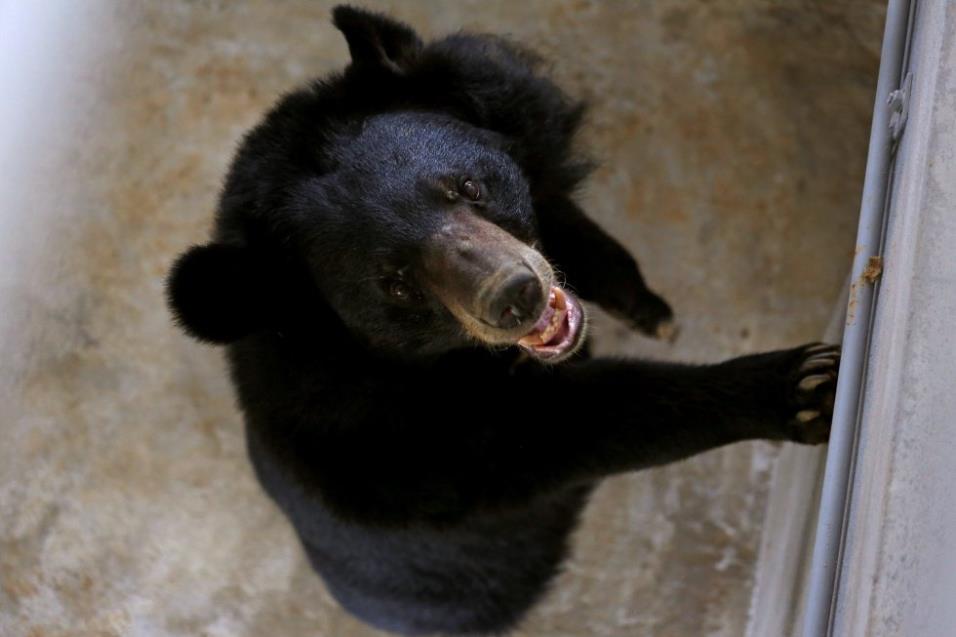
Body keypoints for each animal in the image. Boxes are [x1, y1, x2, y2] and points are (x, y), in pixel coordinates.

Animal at [168, 6, 840, 636]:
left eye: (468, 187)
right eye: (397, 283)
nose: (516, 294)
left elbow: (565, 218)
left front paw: (652, 311)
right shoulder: (421, 439)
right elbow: (596, 420)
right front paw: (804, 386)